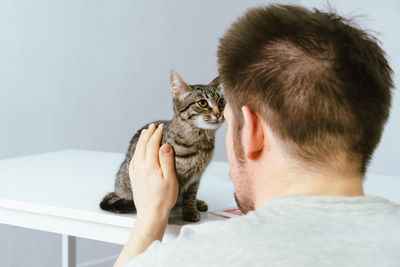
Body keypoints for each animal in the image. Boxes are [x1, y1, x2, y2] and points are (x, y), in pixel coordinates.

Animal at [100, 70, 225, 222]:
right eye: (202, 103)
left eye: (221, 102)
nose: (218, 114)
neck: (201, 143)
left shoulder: (195, 179)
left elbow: (190, 196)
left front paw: (190, 210)